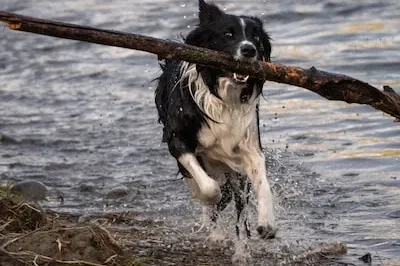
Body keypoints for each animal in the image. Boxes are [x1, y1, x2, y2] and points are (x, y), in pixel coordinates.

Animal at [155, 0, 276, 240]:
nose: (249, 50)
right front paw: (209, 198)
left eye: (256, 37)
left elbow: (262, 183)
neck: (224, 95)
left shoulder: (249, 146)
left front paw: (267, 222)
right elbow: (209, 189)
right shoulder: (177, 138)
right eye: (228, 34)